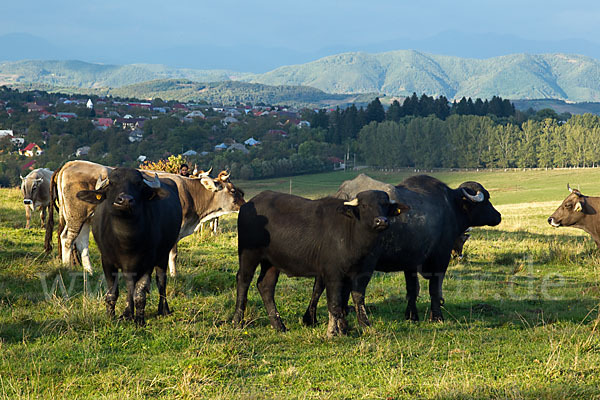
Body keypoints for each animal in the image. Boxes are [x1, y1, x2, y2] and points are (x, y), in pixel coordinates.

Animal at [76, 167, 182, 324]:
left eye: (138, 183)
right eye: (112, 183)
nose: (125, 200)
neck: (126, 240)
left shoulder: (148, 262)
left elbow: (140, 294)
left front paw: (139, 320)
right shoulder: (107, 261)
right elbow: (113, 292)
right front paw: (113, 316)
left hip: (163, 254)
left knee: (161, 281)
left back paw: (163, 309)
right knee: (129, 283)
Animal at [231, 189, 408, 336]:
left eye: (385, 205)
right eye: (364, 205)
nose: (381, 221)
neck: (354, 235)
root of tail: (249, 204)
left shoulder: (362, 272)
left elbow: (357, 300)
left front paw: (362, 326)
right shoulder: (333, 273)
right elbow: (335, 303)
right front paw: (332, 332)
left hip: (272, 262)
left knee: (265, 286)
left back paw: (279, 325)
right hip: (248, 254)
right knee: (243, 280)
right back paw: (237, 321)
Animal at [304, 173, 502, 324]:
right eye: (486, 199)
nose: (498, 216)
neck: (450, 206)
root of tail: (344, 196)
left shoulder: (410, 262)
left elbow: (412, 289)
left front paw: (411, 316)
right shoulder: (440, 258)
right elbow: (433, 288)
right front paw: (437, 316)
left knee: (318, 285)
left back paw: (311, 318)